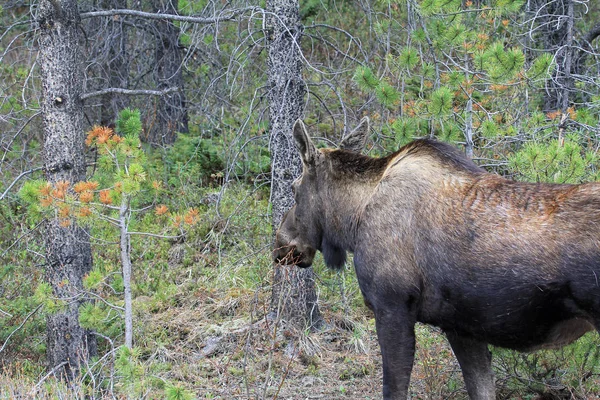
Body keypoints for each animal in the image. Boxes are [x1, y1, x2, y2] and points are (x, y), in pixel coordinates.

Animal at [274, 116, 600, 400]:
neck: (353, 220)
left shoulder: (391, 305)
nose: (280, 244)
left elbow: (394, 389)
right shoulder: (462, 327)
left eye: (294, 188)